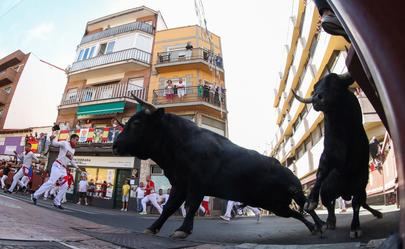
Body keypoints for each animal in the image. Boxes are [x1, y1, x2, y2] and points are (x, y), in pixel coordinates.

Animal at [113, 95, 326, 237]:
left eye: (137, 123)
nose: (115, 145)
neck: (180, 143)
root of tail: (286, 168)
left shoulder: (197, 184)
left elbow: (190, 206)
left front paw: (183, 230)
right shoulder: (180, 184)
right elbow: (169, 207)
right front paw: (153, 227)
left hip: (295, 192)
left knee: (307, 206)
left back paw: (321, 224)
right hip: (276, 205)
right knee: (295, 213)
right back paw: (312, 228)